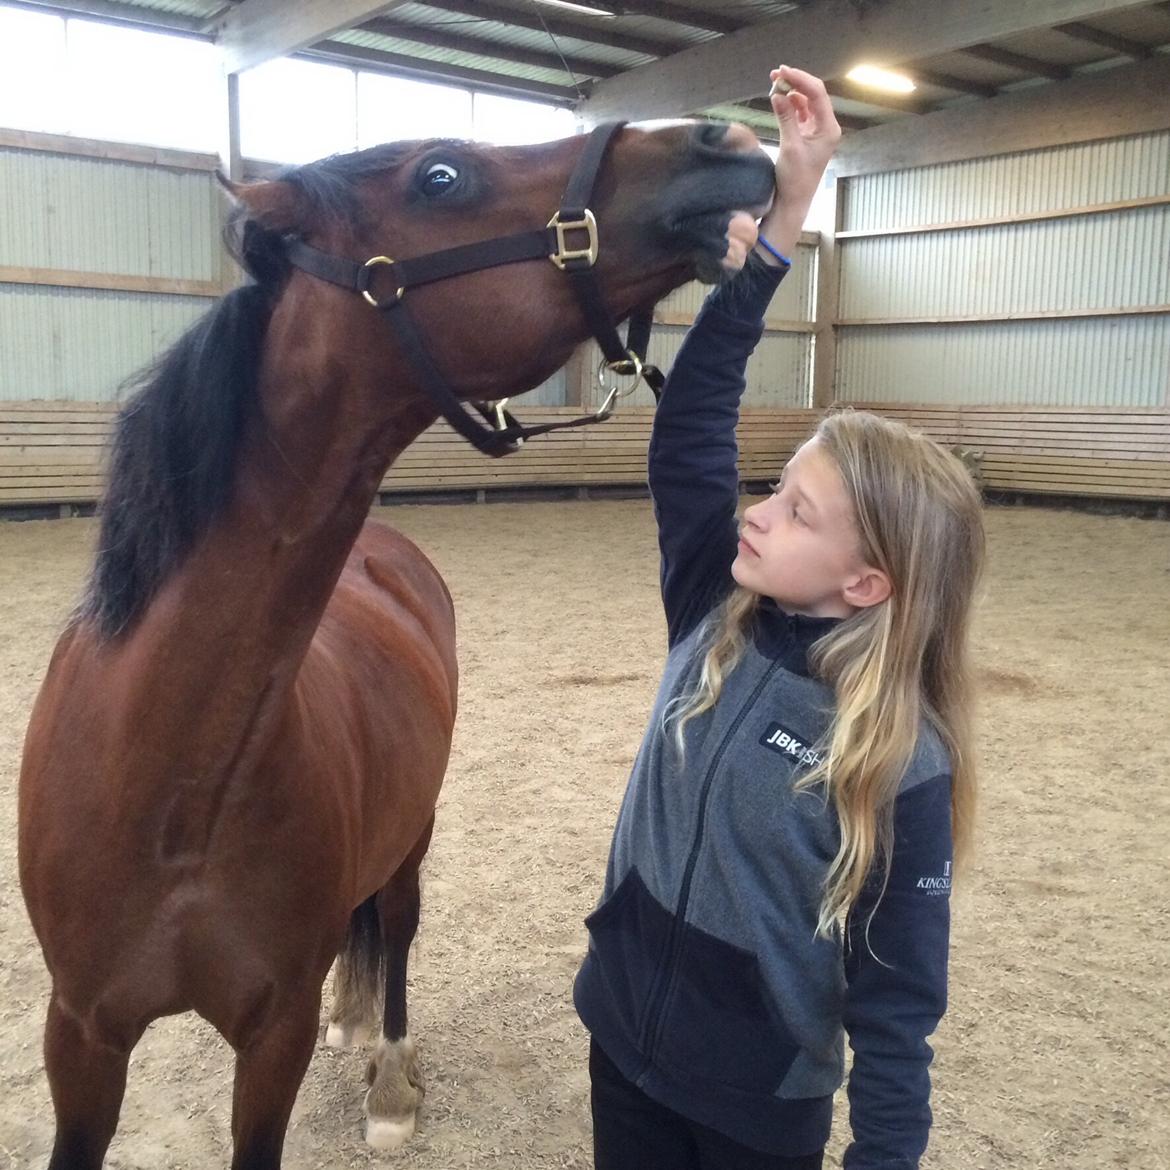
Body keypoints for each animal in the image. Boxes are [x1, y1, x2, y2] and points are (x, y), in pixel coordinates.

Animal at [18, 121, 776, 1170]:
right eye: (441, 177)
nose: (726, 139)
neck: (170, 784)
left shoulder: (273, 1035)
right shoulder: (81, 1037)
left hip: (415, 831)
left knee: (400, 927)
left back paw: (387, 1077)